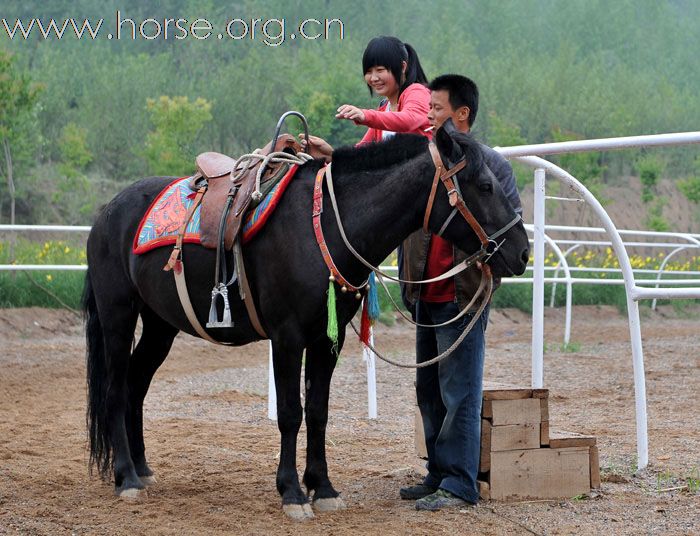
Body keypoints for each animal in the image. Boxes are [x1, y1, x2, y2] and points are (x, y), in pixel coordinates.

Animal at [82, 126, 528, 520]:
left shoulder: (327, 340)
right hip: (118, 316)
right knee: (117, 390)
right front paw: (292, 493)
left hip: (161, 325)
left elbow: (317, 411)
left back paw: (141, 469)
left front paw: (323, 487)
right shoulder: (287, 337)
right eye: (485, 186)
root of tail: (107, 213)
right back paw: (126, 478)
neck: (324, 224)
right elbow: (290, 413)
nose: (522, 252)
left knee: (136, 386)